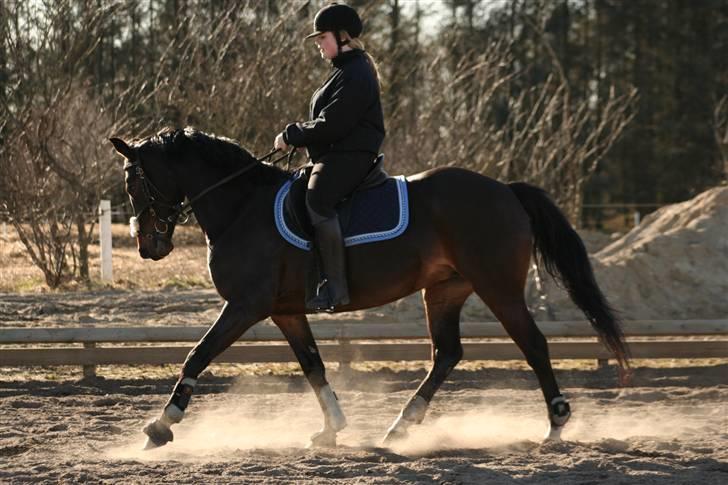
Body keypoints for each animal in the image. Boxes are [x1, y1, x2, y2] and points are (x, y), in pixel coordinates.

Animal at [111, 126, 628, 448]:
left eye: (135, 185)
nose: (148, 247)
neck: (242, 207)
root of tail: (505, 189)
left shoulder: (246, 305)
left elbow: (197, 354)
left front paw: (160, 426)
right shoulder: (285, 311)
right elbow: (313, 366)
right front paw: (332, 429)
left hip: (496, 285)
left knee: (533, 343)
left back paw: (556, 423)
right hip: (445, 290)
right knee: (447, 354)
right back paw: (400, 427)